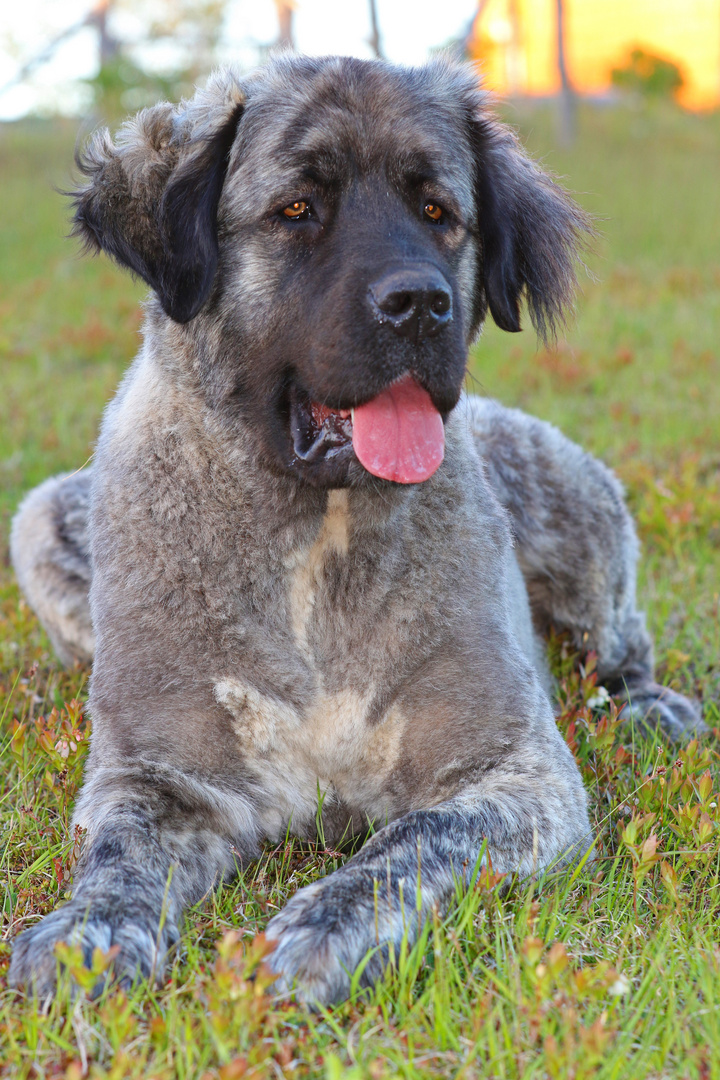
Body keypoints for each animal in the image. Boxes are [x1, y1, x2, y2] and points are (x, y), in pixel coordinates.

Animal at [7, 56, 703, 1002]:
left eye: (438, 212)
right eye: (298, 208)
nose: (418, 302)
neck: (314, 534)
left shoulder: (514, 774)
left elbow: (410, 843)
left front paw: (325, 927)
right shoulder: (157, 774)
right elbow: (119, 855)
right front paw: (88, 931)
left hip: (575, 509)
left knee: (618, 642)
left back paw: (647, 705)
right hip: (40, 519)